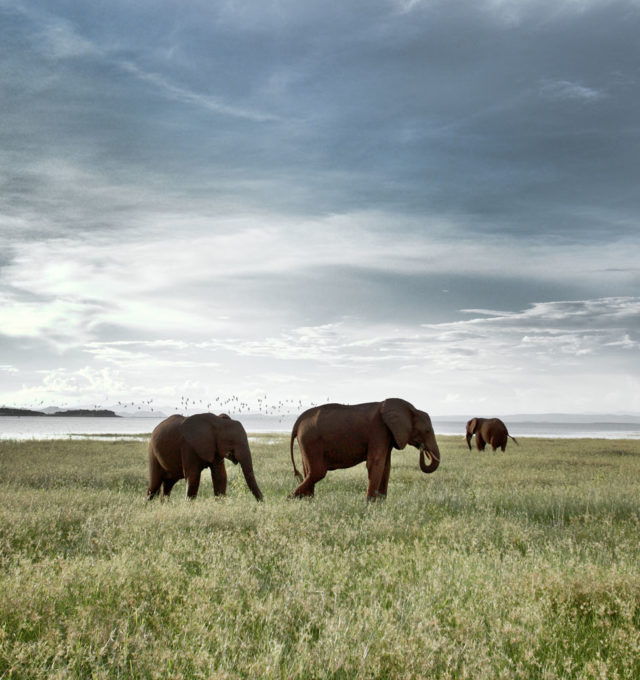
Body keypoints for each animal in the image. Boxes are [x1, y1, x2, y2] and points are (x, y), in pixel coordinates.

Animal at [288, 398, 440, 500]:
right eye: (427, 431)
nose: (422, 448)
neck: (409, 408)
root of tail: (298, 421)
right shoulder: (378, 430)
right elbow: (376, 463)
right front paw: (370, 505)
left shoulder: (387, 435)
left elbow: (386, 466)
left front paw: (381, 504)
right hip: (311, 440)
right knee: (318, 472)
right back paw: (291, 499)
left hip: (306, 442)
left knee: (309, 471)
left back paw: (307, 501)